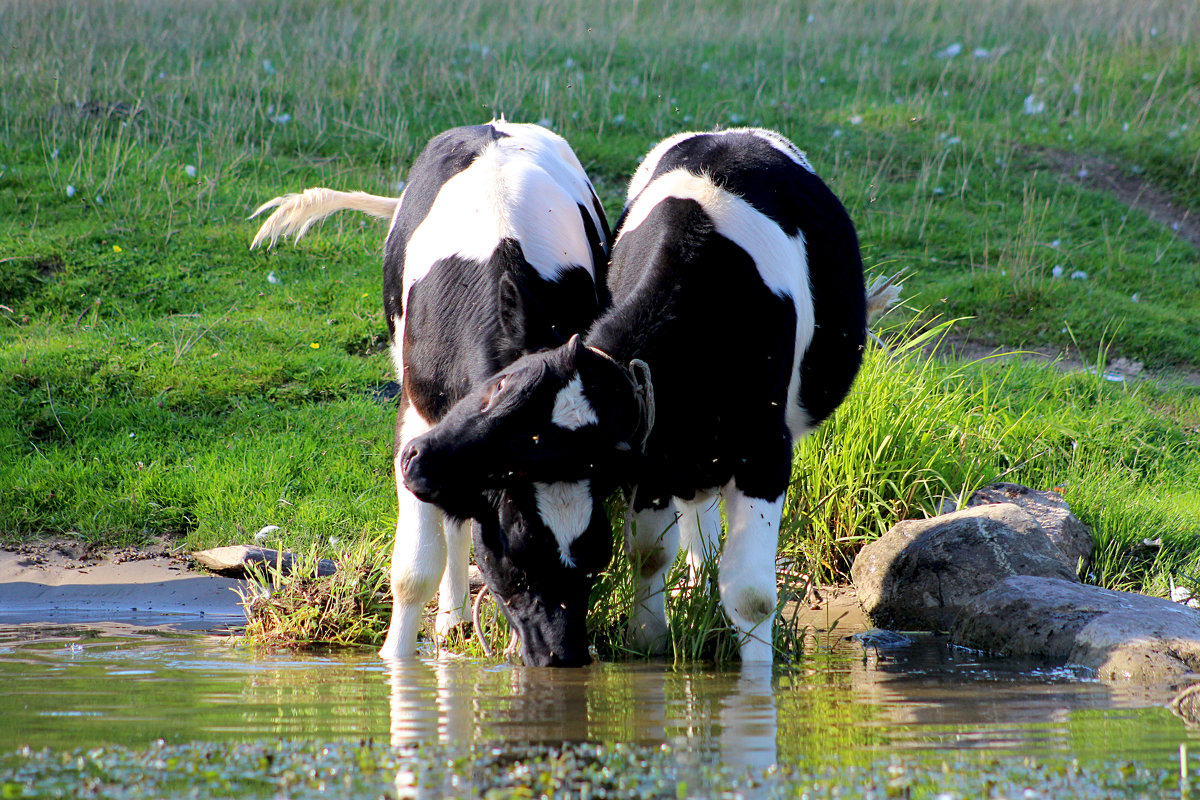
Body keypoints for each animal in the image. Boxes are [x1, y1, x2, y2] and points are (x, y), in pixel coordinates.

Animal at [250, 120, 609, 671]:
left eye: (595, 560)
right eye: (518, 561)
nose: (562, 656)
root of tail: (492, 123)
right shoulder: (418, 424)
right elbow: (413, 569)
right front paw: (395, 661)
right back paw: (450, 619)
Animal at [400, 126, 864, 662]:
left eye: (534, 440)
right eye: (498, 388)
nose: (415, 456)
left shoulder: (764, 450)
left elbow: (750, 595)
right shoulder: (652, 454)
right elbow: (650, 553)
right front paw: (650, 641)